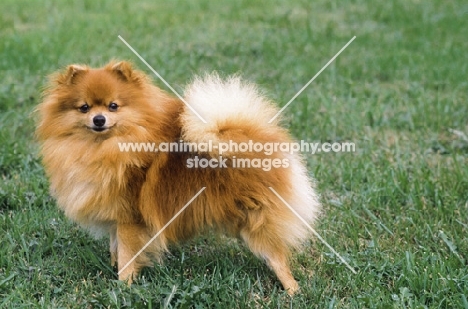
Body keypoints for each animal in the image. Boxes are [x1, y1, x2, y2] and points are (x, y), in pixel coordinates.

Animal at [35, 60, 322, 294]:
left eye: (113, 106)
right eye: (83, 108)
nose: (98, 119)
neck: (104, 148)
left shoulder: (130, 219)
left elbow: (128, 255)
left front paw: (124, 285)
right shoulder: (118, 219)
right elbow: (116, 248)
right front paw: (114, 270)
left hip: (258, 219)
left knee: (277, 256)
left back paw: (292, 289)